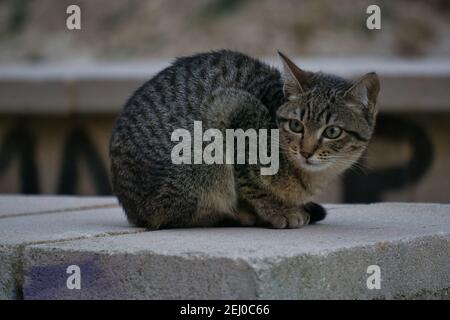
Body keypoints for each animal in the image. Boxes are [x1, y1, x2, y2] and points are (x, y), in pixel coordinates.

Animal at [110, 49, 380, 230]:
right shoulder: (233, 110)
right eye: (296, 125)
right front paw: (277, 211)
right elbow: (250, 184)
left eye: (332, 131)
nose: (306, 151)